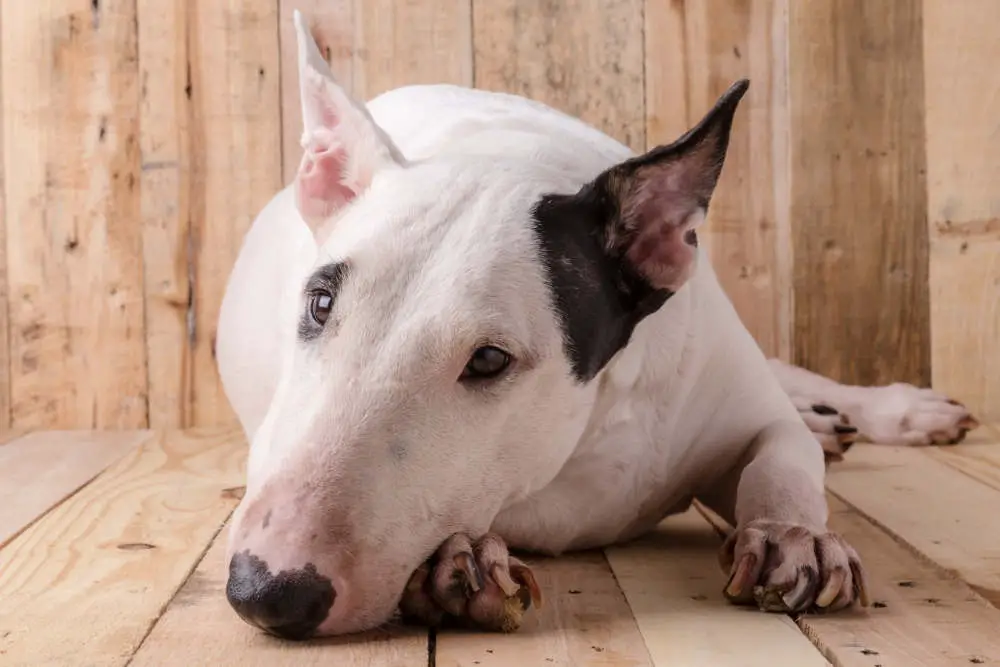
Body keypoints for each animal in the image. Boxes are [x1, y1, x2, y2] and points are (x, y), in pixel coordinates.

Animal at [215, 9, 980, 636]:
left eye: (489, 360)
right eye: (320, 304)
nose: (267, 591)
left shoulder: (733, 399)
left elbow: (782, 456)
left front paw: (796, 535)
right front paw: (459, 563)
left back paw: (886, 411)